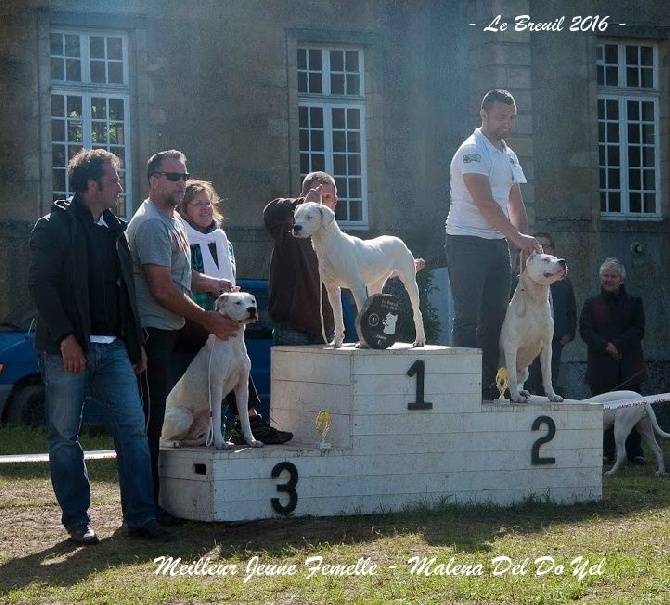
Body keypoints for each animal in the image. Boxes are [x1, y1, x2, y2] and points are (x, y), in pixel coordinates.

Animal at [160, 290, 262, 450]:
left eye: (252, 301)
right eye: (237, 302)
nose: (252, 310)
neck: (233, 342)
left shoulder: (242, 386)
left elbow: (244, 416)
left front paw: (251, 440)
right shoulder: (216, 386)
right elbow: (217, 417)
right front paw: (220, 443)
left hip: (202, 422)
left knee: (189, 437)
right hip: (184, 417)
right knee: (162, 438)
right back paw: (173, 443)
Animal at [292, 201, 426, 346]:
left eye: (309, 217)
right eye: (296, 217)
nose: (296, 227)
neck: (329, 245)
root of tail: (399, 241)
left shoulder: (357, 287)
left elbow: (361, 314)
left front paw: (363, 343)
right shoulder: (332, 290)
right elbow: (338, 317)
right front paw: (337, 342)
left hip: (410, 283)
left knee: (417, 312)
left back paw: (419, 340)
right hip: (374, 286)